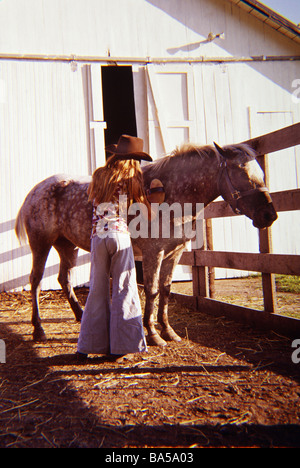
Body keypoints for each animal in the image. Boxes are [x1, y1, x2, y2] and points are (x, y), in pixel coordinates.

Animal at [14, 144, 276, 346]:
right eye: (241, 173)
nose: (269, 215)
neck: (173, 194)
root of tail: (35, 191)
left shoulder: (174, 253)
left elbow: (166, 290)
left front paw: (168, 331)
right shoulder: (154, 253)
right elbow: (152, 290)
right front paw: (152, 334)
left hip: (67, 246)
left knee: (64, 278)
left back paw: (79, 316)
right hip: (41, 244)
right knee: (36, 280)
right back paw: (38, 329)